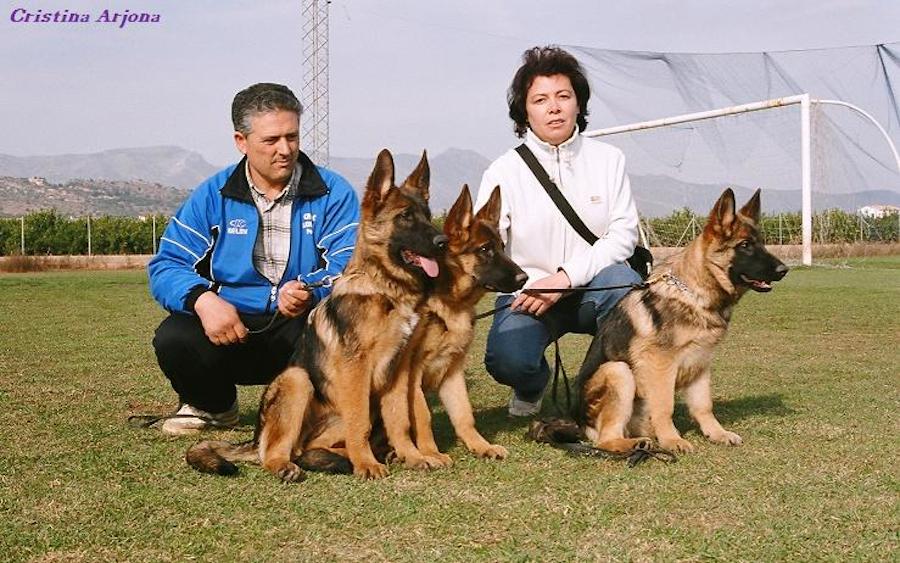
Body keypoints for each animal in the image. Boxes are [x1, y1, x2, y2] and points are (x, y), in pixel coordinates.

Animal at [186, 152, 446, 482]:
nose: (444, 242)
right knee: (277, 451)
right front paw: (367, 464)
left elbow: (400, 419)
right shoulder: (357, 368)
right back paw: (289, 465)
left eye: (427, 214)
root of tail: (255, 439)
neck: (384, 290)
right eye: (406, 217)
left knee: (314, 448)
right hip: (297, 380)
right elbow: (360, 423)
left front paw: (412, 456)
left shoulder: (398, 371)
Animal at [386, 185, 528, 468]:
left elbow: (464, 414)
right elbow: (423, 415)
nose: (524, 278)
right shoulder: (413, 375)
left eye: (502, 246)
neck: (451, 303)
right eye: (485, 249)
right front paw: (430, 452)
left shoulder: (452, 372)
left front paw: (480, 446)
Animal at [568, 188, 788, 454]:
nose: (784, 270)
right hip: (618, 371)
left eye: (762, 243)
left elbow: (704, 405)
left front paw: (717, 433)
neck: (694, 293)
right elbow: (665, 406)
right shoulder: (661, 366)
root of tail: (580, 423)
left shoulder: (701, 363)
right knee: (606, 439)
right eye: (745, 245)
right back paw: (636, 444)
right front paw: (672, 440)